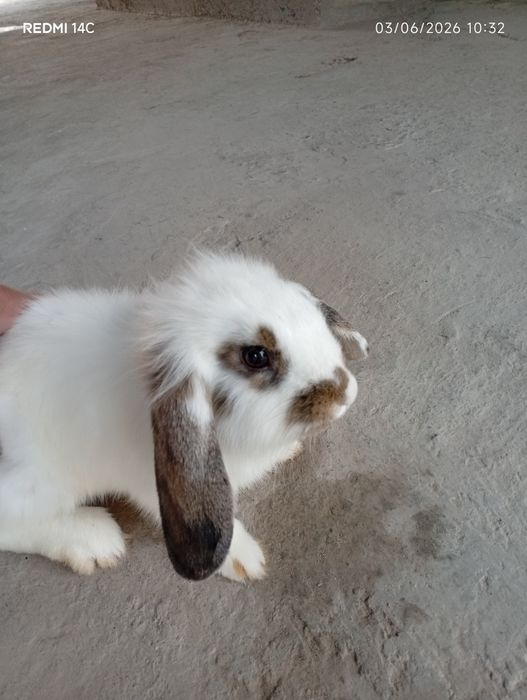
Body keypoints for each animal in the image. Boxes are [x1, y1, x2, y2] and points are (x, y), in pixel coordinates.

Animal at [0, 252, 368, 582]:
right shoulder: (151, 483)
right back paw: (96, 541)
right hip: (46, 481)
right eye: (256, 356)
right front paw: (245, 560)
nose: (346, 394)